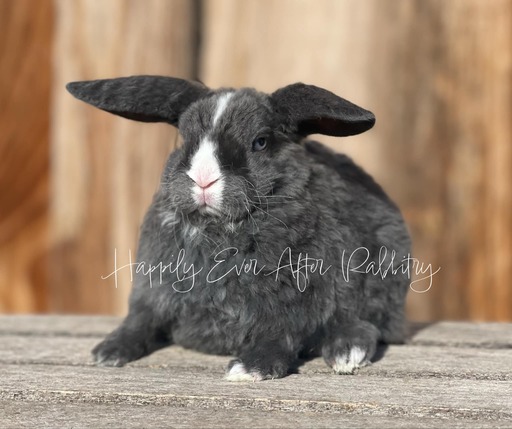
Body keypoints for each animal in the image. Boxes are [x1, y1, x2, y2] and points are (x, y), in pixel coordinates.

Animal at [68, 75, 412, 380]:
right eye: (186, 140)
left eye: (260, 142)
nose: (203, 179)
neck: (217, 227)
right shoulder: (152, 291)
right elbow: (140, 321)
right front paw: (107, 352)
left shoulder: (294, 298)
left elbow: (279, 334)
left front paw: (249, 369)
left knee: (364, 326)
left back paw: (346, 353)